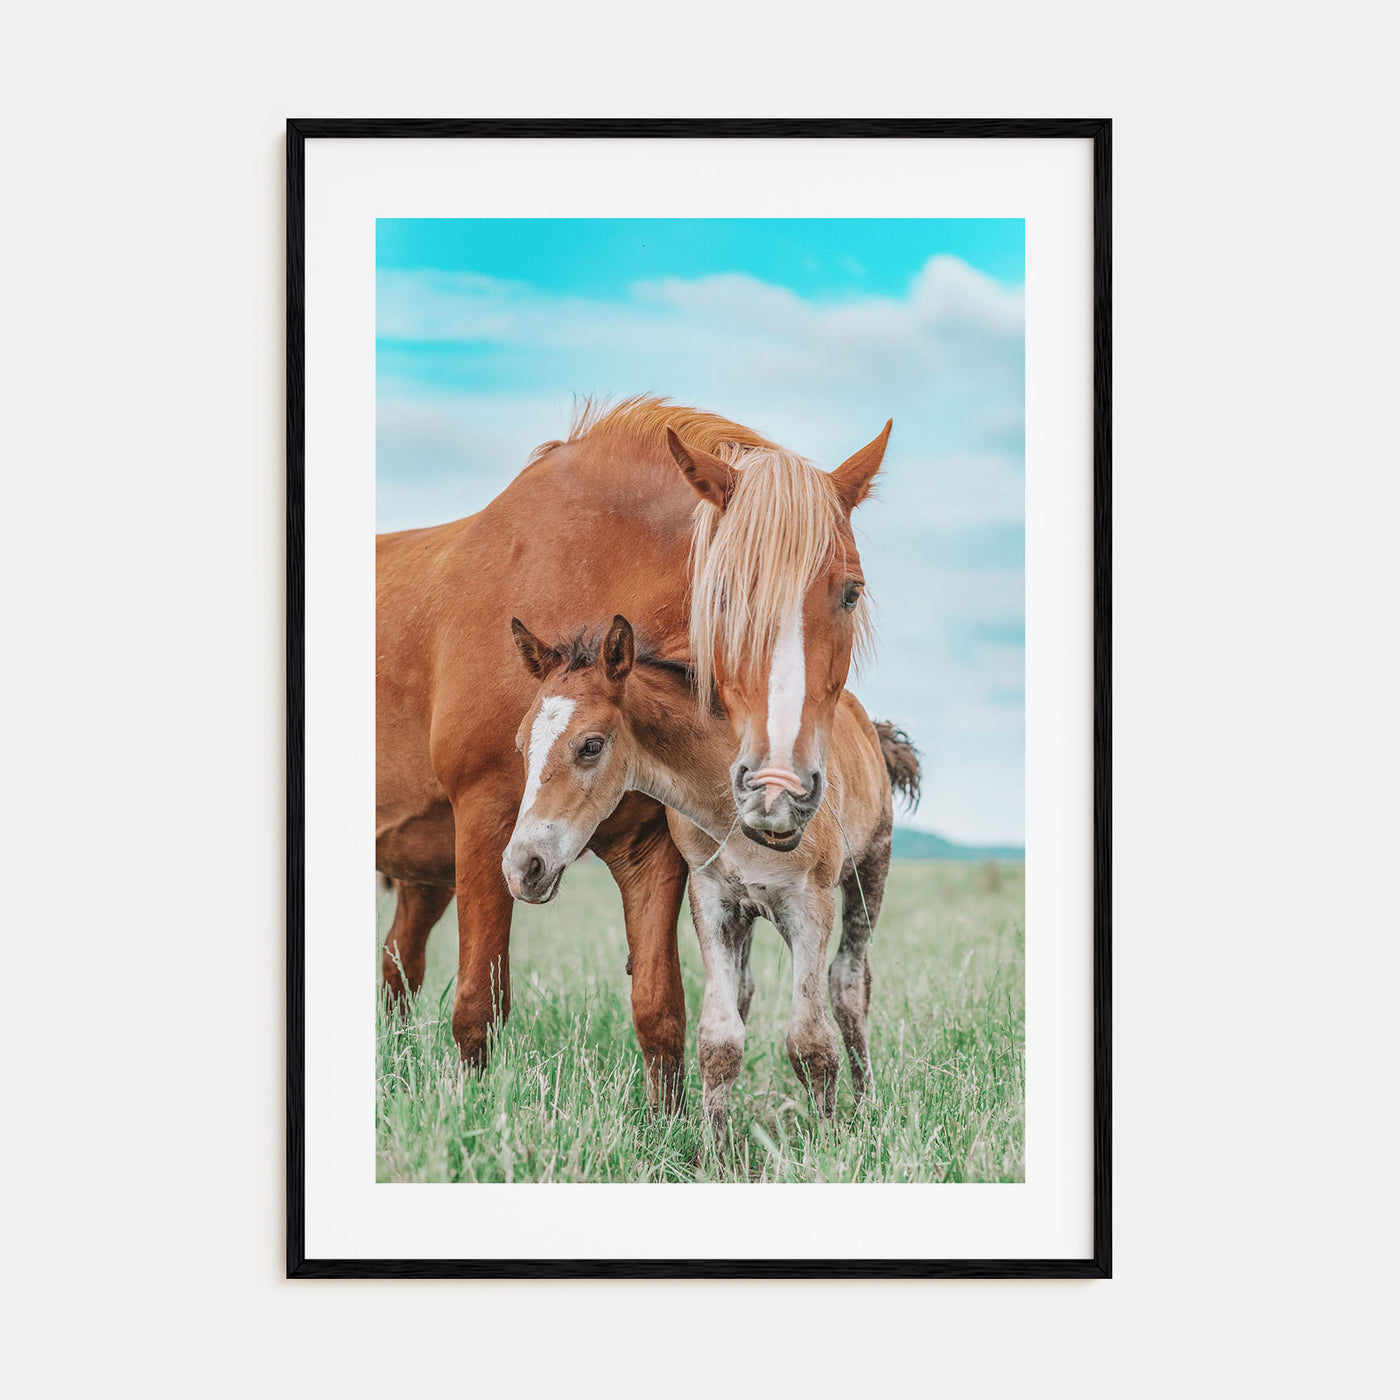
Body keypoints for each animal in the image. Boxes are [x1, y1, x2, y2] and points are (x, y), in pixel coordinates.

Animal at [376, 397, 890, 1107]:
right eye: (721, 595)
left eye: (852, 591)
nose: (778, 790)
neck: (588, 567)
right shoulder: (485, 821)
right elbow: (479, 1004)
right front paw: (472, 1116)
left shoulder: (655, 850)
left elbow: (660, 1009)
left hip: (423, 876)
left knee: (398, 972)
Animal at [501, 615, 921, 1133]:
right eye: (521, 744)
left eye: (591, 745)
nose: (522, 867)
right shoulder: (714, 900)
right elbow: (719, 1040)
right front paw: (714, 1148)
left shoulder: (810, 903)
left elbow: (811, 1041)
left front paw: (828, 1143)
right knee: (746, 990)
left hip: (870, 869)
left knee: (849, 983)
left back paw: (865, 1106)